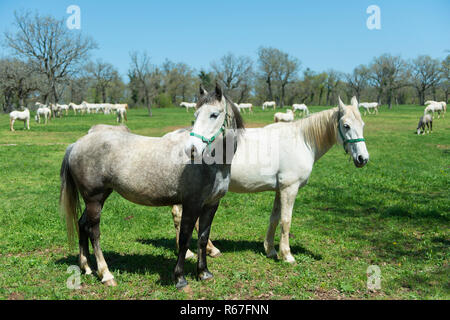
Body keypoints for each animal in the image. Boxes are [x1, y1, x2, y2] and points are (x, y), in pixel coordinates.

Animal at [171, 95, 368, 262]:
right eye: (346, 126)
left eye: (363, 124)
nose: (363, 159)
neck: (301, 141)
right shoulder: (290, 188)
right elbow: (286, 220)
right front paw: (287, 255)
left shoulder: (280, 190)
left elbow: (274, 218)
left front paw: (271, 250)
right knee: (185, 218)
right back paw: (193, 252)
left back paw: (203, 250)